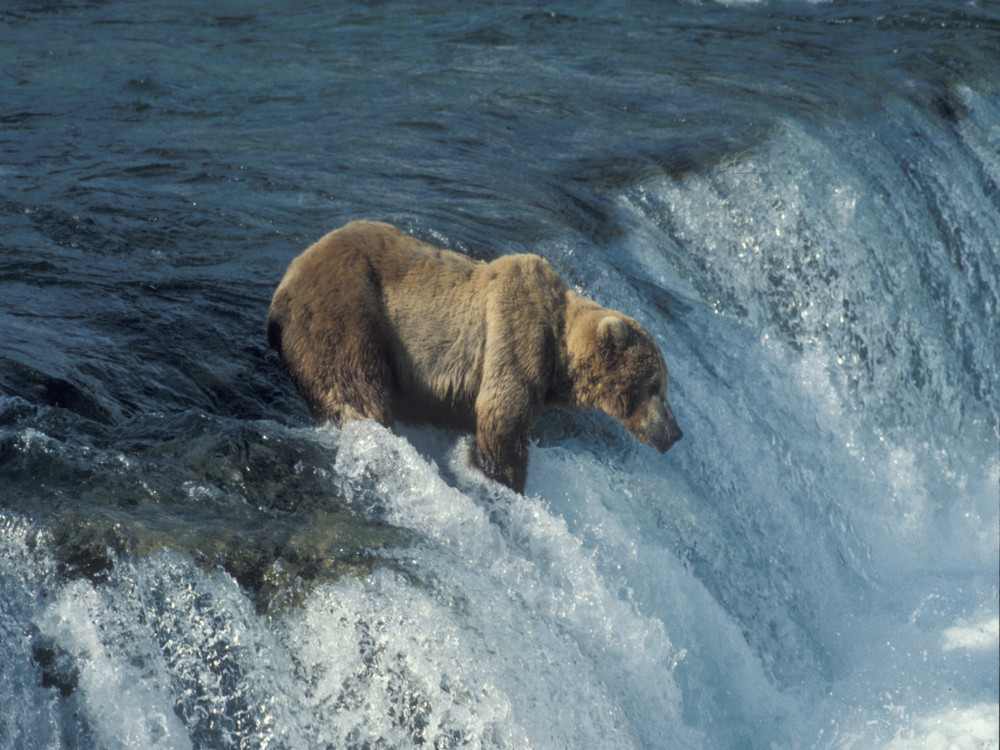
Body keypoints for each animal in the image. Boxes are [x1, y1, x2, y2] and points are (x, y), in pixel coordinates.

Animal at [270, 220, 684, 496]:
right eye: (657, 387)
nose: (676, 433)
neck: (558, 358)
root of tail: (284, 286)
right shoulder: (514, 338)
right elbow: (501, 419)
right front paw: (504, 479)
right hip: (347, 313)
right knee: (355, 389)